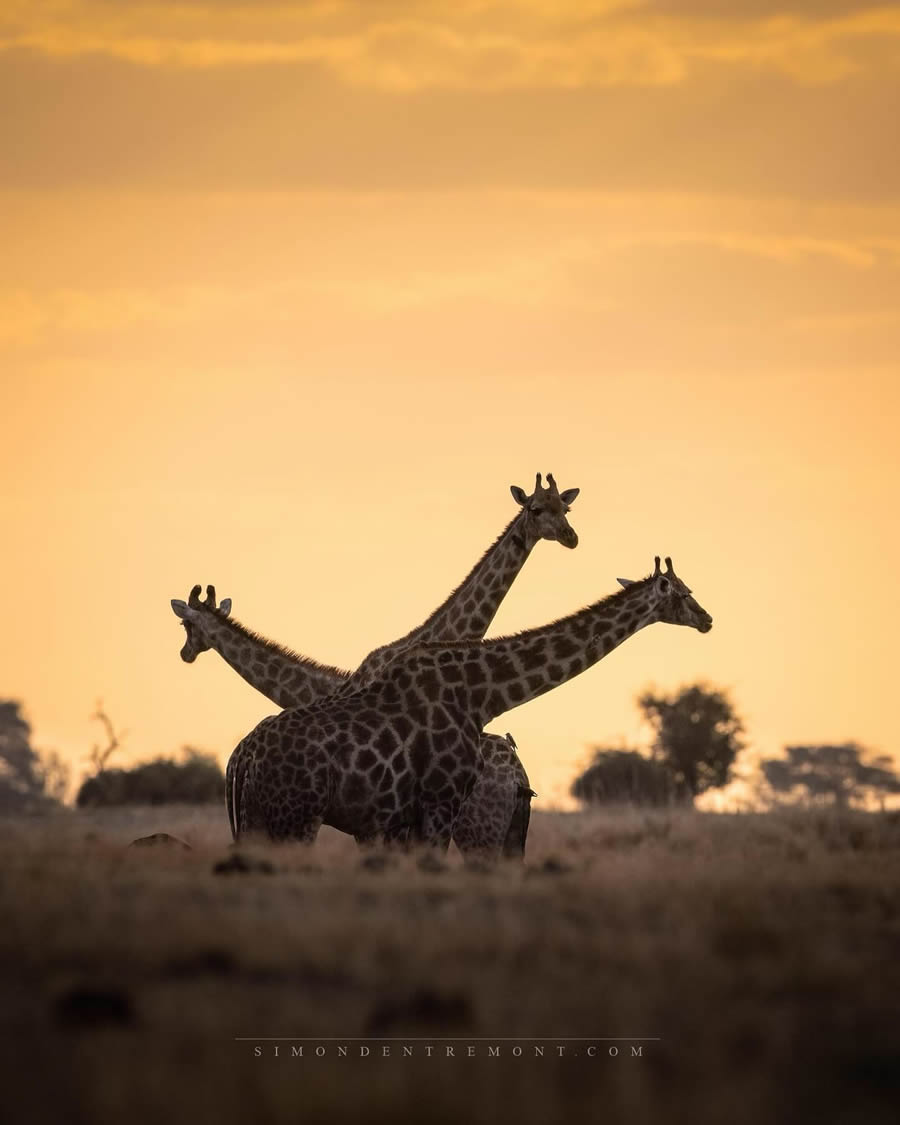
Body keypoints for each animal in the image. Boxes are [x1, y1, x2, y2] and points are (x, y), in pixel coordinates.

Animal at [228, 553, 715, 846]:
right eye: (684, 594)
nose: (708, 618)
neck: (482, 693)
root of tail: (244, 757)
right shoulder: (438, 804)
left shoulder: (403, 817)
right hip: (293, 818)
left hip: (259, 818)